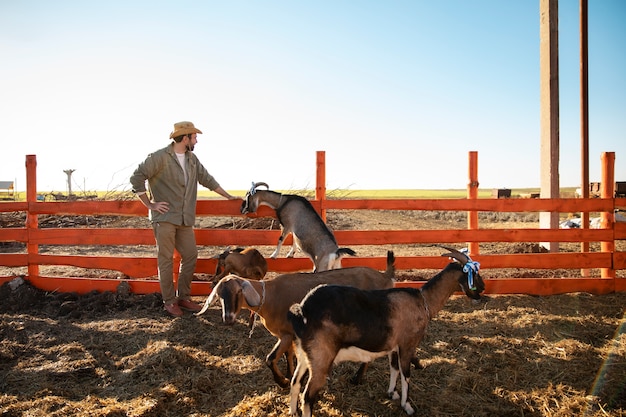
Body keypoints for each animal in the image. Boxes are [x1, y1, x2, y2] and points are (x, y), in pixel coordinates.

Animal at [286, 245, 486, 414]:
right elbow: (405, 374)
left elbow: (394, 368)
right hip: (321, 358)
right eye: (473, 272)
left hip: (305, 355)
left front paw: (392, 393)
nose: (483, 287)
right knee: (308, 396)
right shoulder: (407, 345)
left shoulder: (393, 347)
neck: (422, 301)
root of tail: (303, 311)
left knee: (295, 383)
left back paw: (292, 411)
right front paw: (407, 406)